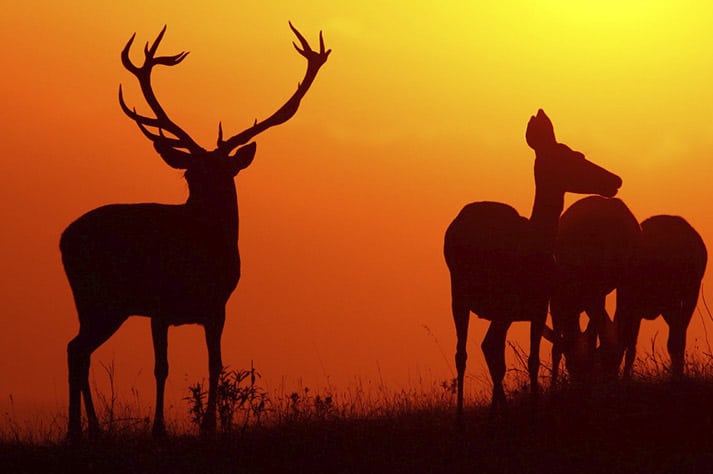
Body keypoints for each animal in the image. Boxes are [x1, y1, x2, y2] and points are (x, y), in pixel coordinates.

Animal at [60, 23, 330, 440]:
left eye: (225, 172)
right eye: (190, 174)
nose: (202, 198)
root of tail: (63, 238)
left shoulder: (218, 306)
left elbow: (215, 364)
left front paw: (210, 426)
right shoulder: (159, 305)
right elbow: (162, 368)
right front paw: (158, 429)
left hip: (101, 304)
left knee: (79, 349)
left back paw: (88, 430)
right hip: (100, 298)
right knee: (77, 349)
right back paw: (80, 429)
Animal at [444, 109, 622, 418]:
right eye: (575, 156)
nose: (616, 180)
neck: (534, 249)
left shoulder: (538, 308)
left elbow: (533, 359)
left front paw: (532, 414)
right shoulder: (507, 305)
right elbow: (507, 358)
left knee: (487, 348)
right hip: (460, 294)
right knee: (463, 353)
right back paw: (461, 421)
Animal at [608, 215, 707, 379]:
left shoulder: (633, 308)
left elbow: (630, 343)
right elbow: (630, 345)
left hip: (681, 298)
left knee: (676, 338)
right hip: (687, 297)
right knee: (679, 335)